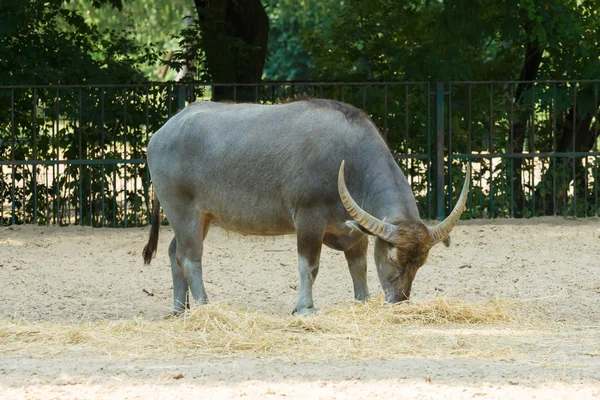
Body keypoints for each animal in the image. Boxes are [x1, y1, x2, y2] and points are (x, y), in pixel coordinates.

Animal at [142, 97, 468, 316]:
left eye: (420, 263)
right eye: (393, 257)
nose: (399, 299)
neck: (348, 159)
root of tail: (161, 133)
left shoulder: (356, 232)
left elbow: (359, 267)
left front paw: (362, 301)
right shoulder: (309, 219)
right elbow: (308, 266)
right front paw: (304, 307)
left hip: (202, 217)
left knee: (174, 252)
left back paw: (180, 309)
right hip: (184, 211)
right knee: (190, 259)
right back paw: (204, 305)